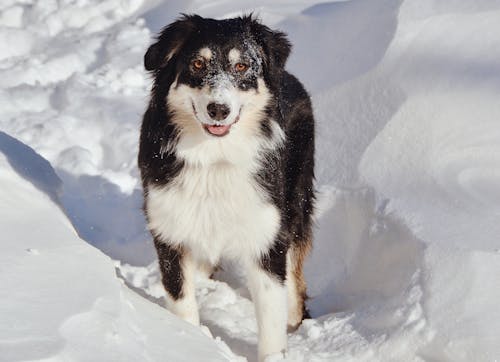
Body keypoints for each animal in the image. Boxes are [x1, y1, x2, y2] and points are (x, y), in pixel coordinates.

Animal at [139, 13, 314, 360]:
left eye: (242, 66)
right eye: (196, 63)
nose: (218, 109)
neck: (214, 160)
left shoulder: (266, 236)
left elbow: (271, 320)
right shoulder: (169, 230)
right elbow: (182, 302)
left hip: (295, 206)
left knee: (295, 283)